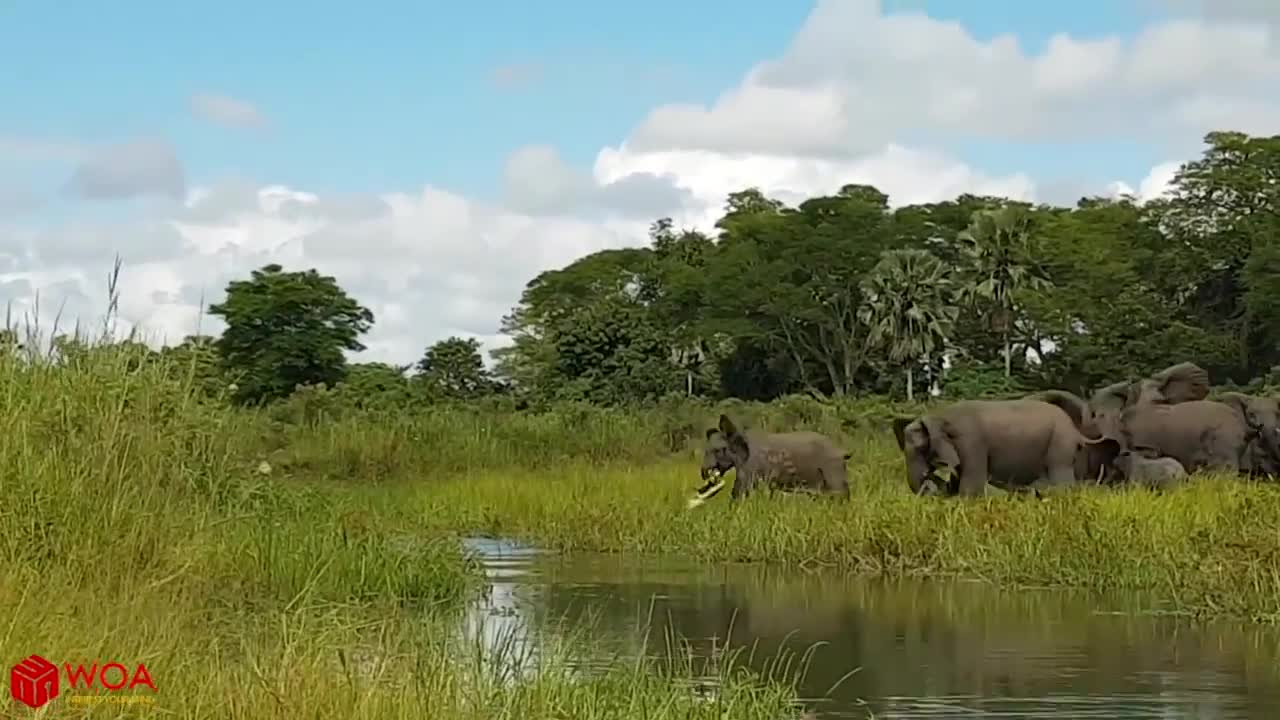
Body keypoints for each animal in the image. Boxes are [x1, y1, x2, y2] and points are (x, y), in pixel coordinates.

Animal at [696, 412, 855, 502]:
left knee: (837, 492)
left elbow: (742, 489)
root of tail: (841, 451)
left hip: (831, 466)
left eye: (718, 451)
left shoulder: (752, 464)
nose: (706, 475)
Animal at [885, 394, 1116, 497]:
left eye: (920, 449)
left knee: (1061, 481)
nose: (930, 481)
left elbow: (972, 484)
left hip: (1060, 445)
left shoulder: (972, 442)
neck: (939, 416)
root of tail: (1075, 430)